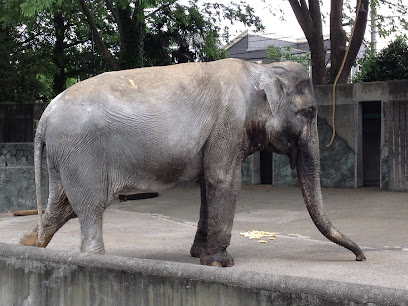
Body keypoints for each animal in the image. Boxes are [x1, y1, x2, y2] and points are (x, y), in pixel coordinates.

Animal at [19, 58, 366, 266]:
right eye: (309, 112)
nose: (360, 258)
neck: (260, 69)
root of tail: (45, 115)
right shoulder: (228, 122)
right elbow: (224, 180)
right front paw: (221, 263)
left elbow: (206, 185)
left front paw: (199, 255)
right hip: (81, 152)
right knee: (90, 206)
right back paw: (96, 260)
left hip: (64, 156)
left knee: (62, 205)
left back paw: (29, 244)